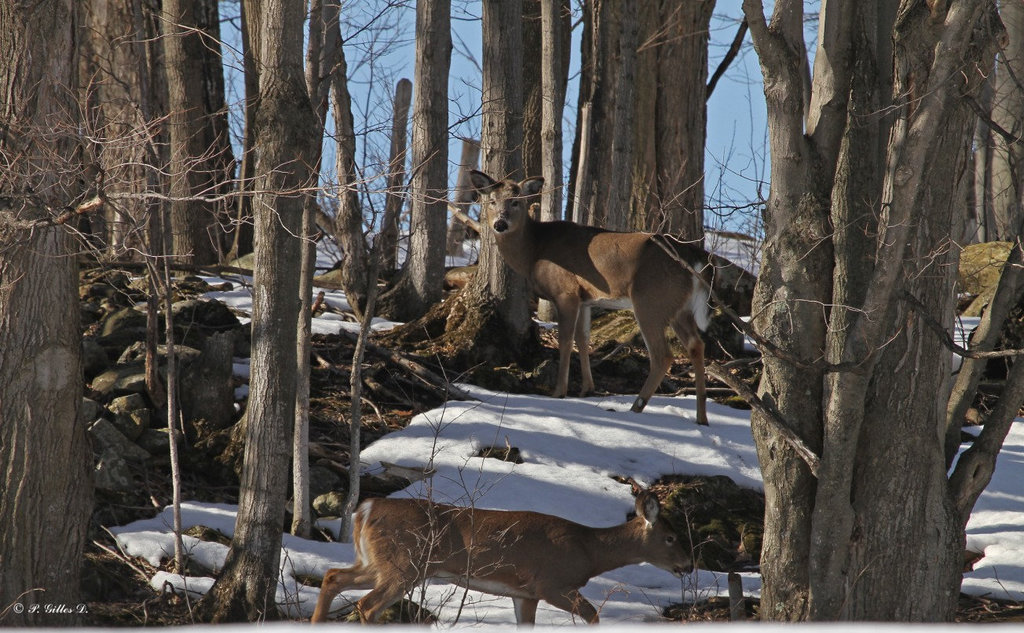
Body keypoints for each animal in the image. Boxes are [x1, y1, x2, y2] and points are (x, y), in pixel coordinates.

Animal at [307, 487, 692, 622]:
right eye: (671, 537)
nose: (688, 565)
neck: (588, 550)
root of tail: (366, 508)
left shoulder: (524, 593)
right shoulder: (551, 584)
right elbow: (594, 615)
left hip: (377, 562)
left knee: (333, 577)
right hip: (406, 564)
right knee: (367, 605)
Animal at [468, 170, 712, 424]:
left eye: (516, 201)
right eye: (492, 201)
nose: (500, 223)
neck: (533, 250)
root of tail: (694, 256)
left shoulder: (565, 291)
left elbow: (565, 340)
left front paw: (559, 391)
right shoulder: (586, 299)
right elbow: (583, 338)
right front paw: (587, 388)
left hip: (651, 300)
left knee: (662, 355)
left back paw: (637, 406)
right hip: (679, 307)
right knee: (696, 344)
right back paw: (701, 417)